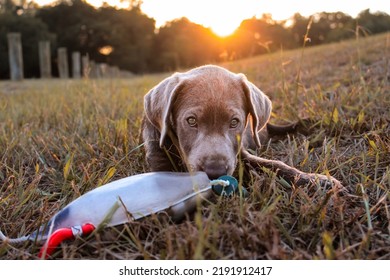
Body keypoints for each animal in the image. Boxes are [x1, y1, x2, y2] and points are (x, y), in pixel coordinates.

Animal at [142, 65, 342, 188]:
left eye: (234, 122)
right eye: (191, 121)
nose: (215, 172)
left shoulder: (241, 154)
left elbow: (275, 165)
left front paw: (316, 180)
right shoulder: (159, 158)